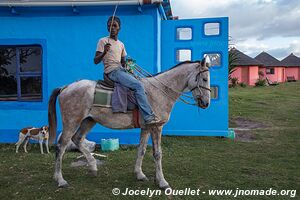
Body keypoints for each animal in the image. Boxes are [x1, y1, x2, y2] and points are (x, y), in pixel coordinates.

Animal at [48, 56, 211, 189]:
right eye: (204, 79)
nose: (206, 103)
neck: (160, 90)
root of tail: (65, 87)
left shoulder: (146, 128)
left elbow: (142, 150)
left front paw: (139, 174)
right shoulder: (156, 127)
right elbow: (157, 154)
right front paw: (162, 182)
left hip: (88, 121)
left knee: (77, 139)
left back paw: (92, 166)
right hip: (72, 121)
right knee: (61, 146)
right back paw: (60, 179)